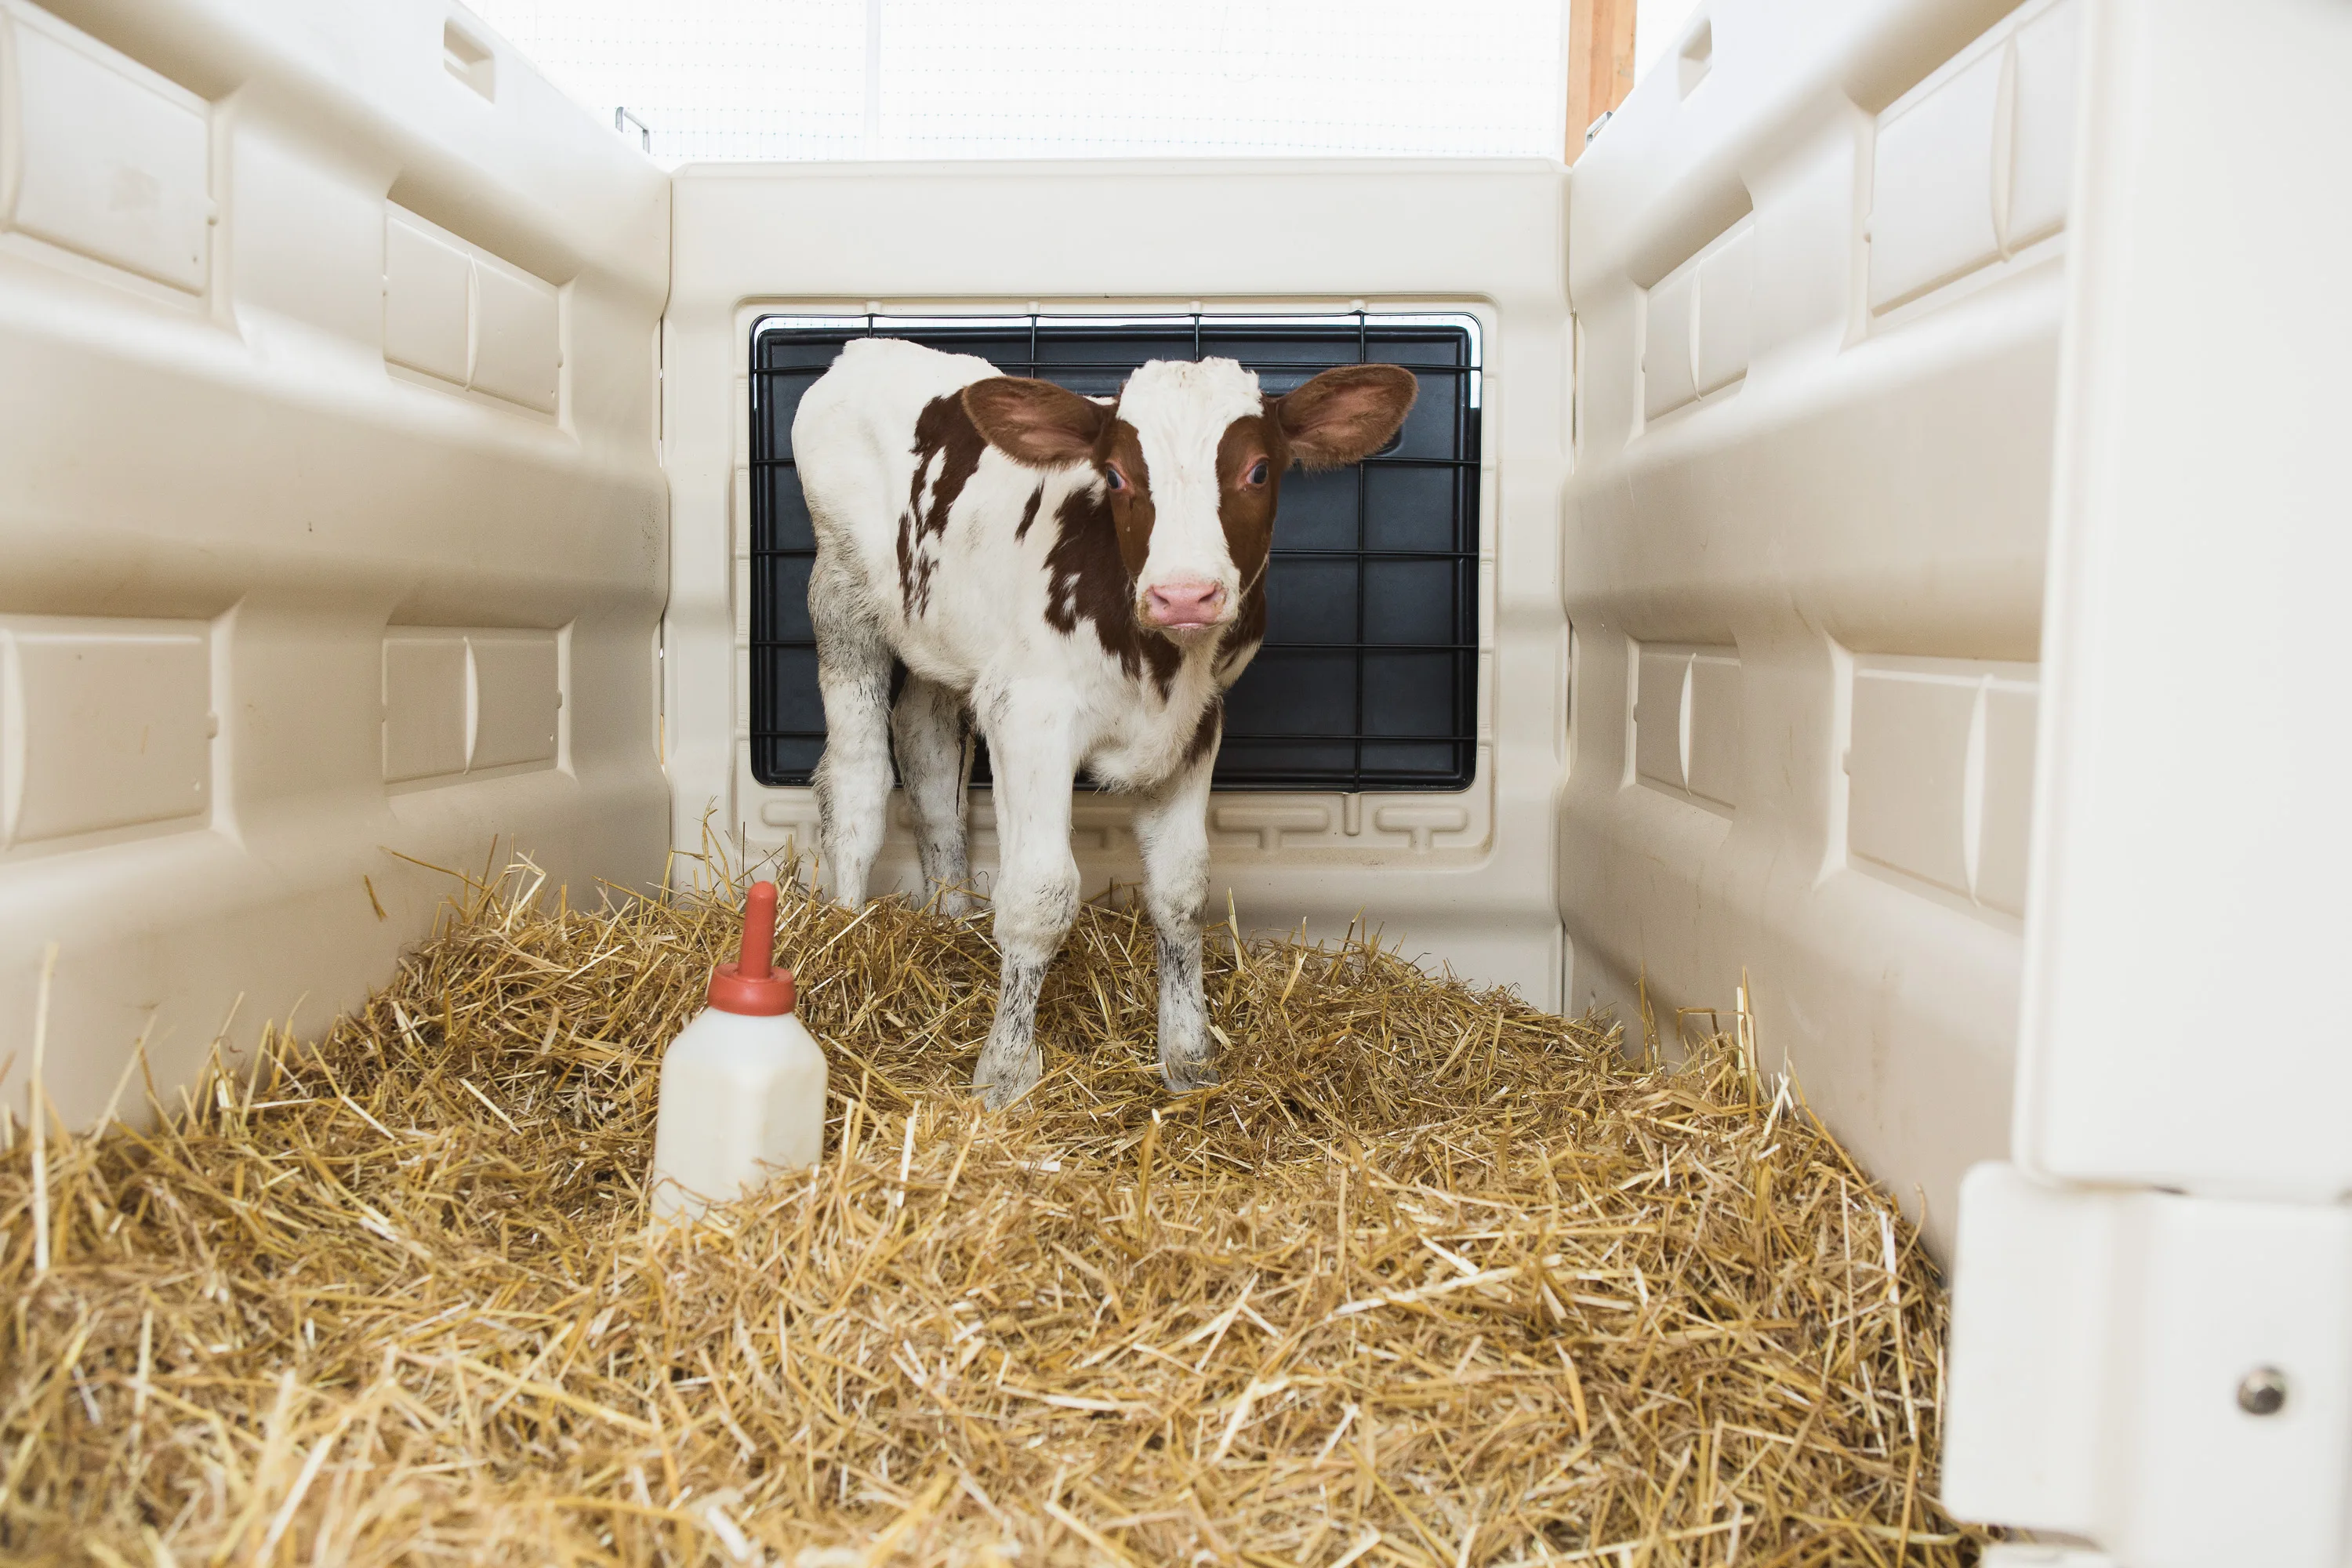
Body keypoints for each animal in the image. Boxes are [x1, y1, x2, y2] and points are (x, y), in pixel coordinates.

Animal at [792, 338, 1417, 1107]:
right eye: (1117, 474)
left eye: (1259, 469)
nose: (1184, 594)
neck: (1161, 663)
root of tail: (867, 346)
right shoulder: (1029, 713)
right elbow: (1040, 894)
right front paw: (1003, 1075)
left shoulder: (1197, 725)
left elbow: (1181, 891)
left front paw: (1189, 1058)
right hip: (840, 591)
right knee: (855, 777)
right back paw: (842, 935)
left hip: (941, 634)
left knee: (927, 750)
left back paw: (953, 916)